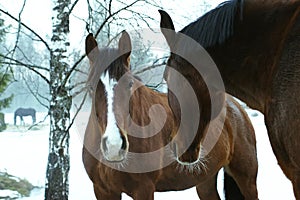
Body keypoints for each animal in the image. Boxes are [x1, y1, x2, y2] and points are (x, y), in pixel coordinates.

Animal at [82, 30, 258, 198]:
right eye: (90, 87)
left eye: (130, 84)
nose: (114, 146)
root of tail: (236, 107)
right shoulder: (103, 190)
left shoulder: (144, 189)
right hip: (205, 181)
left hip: (247, 179)